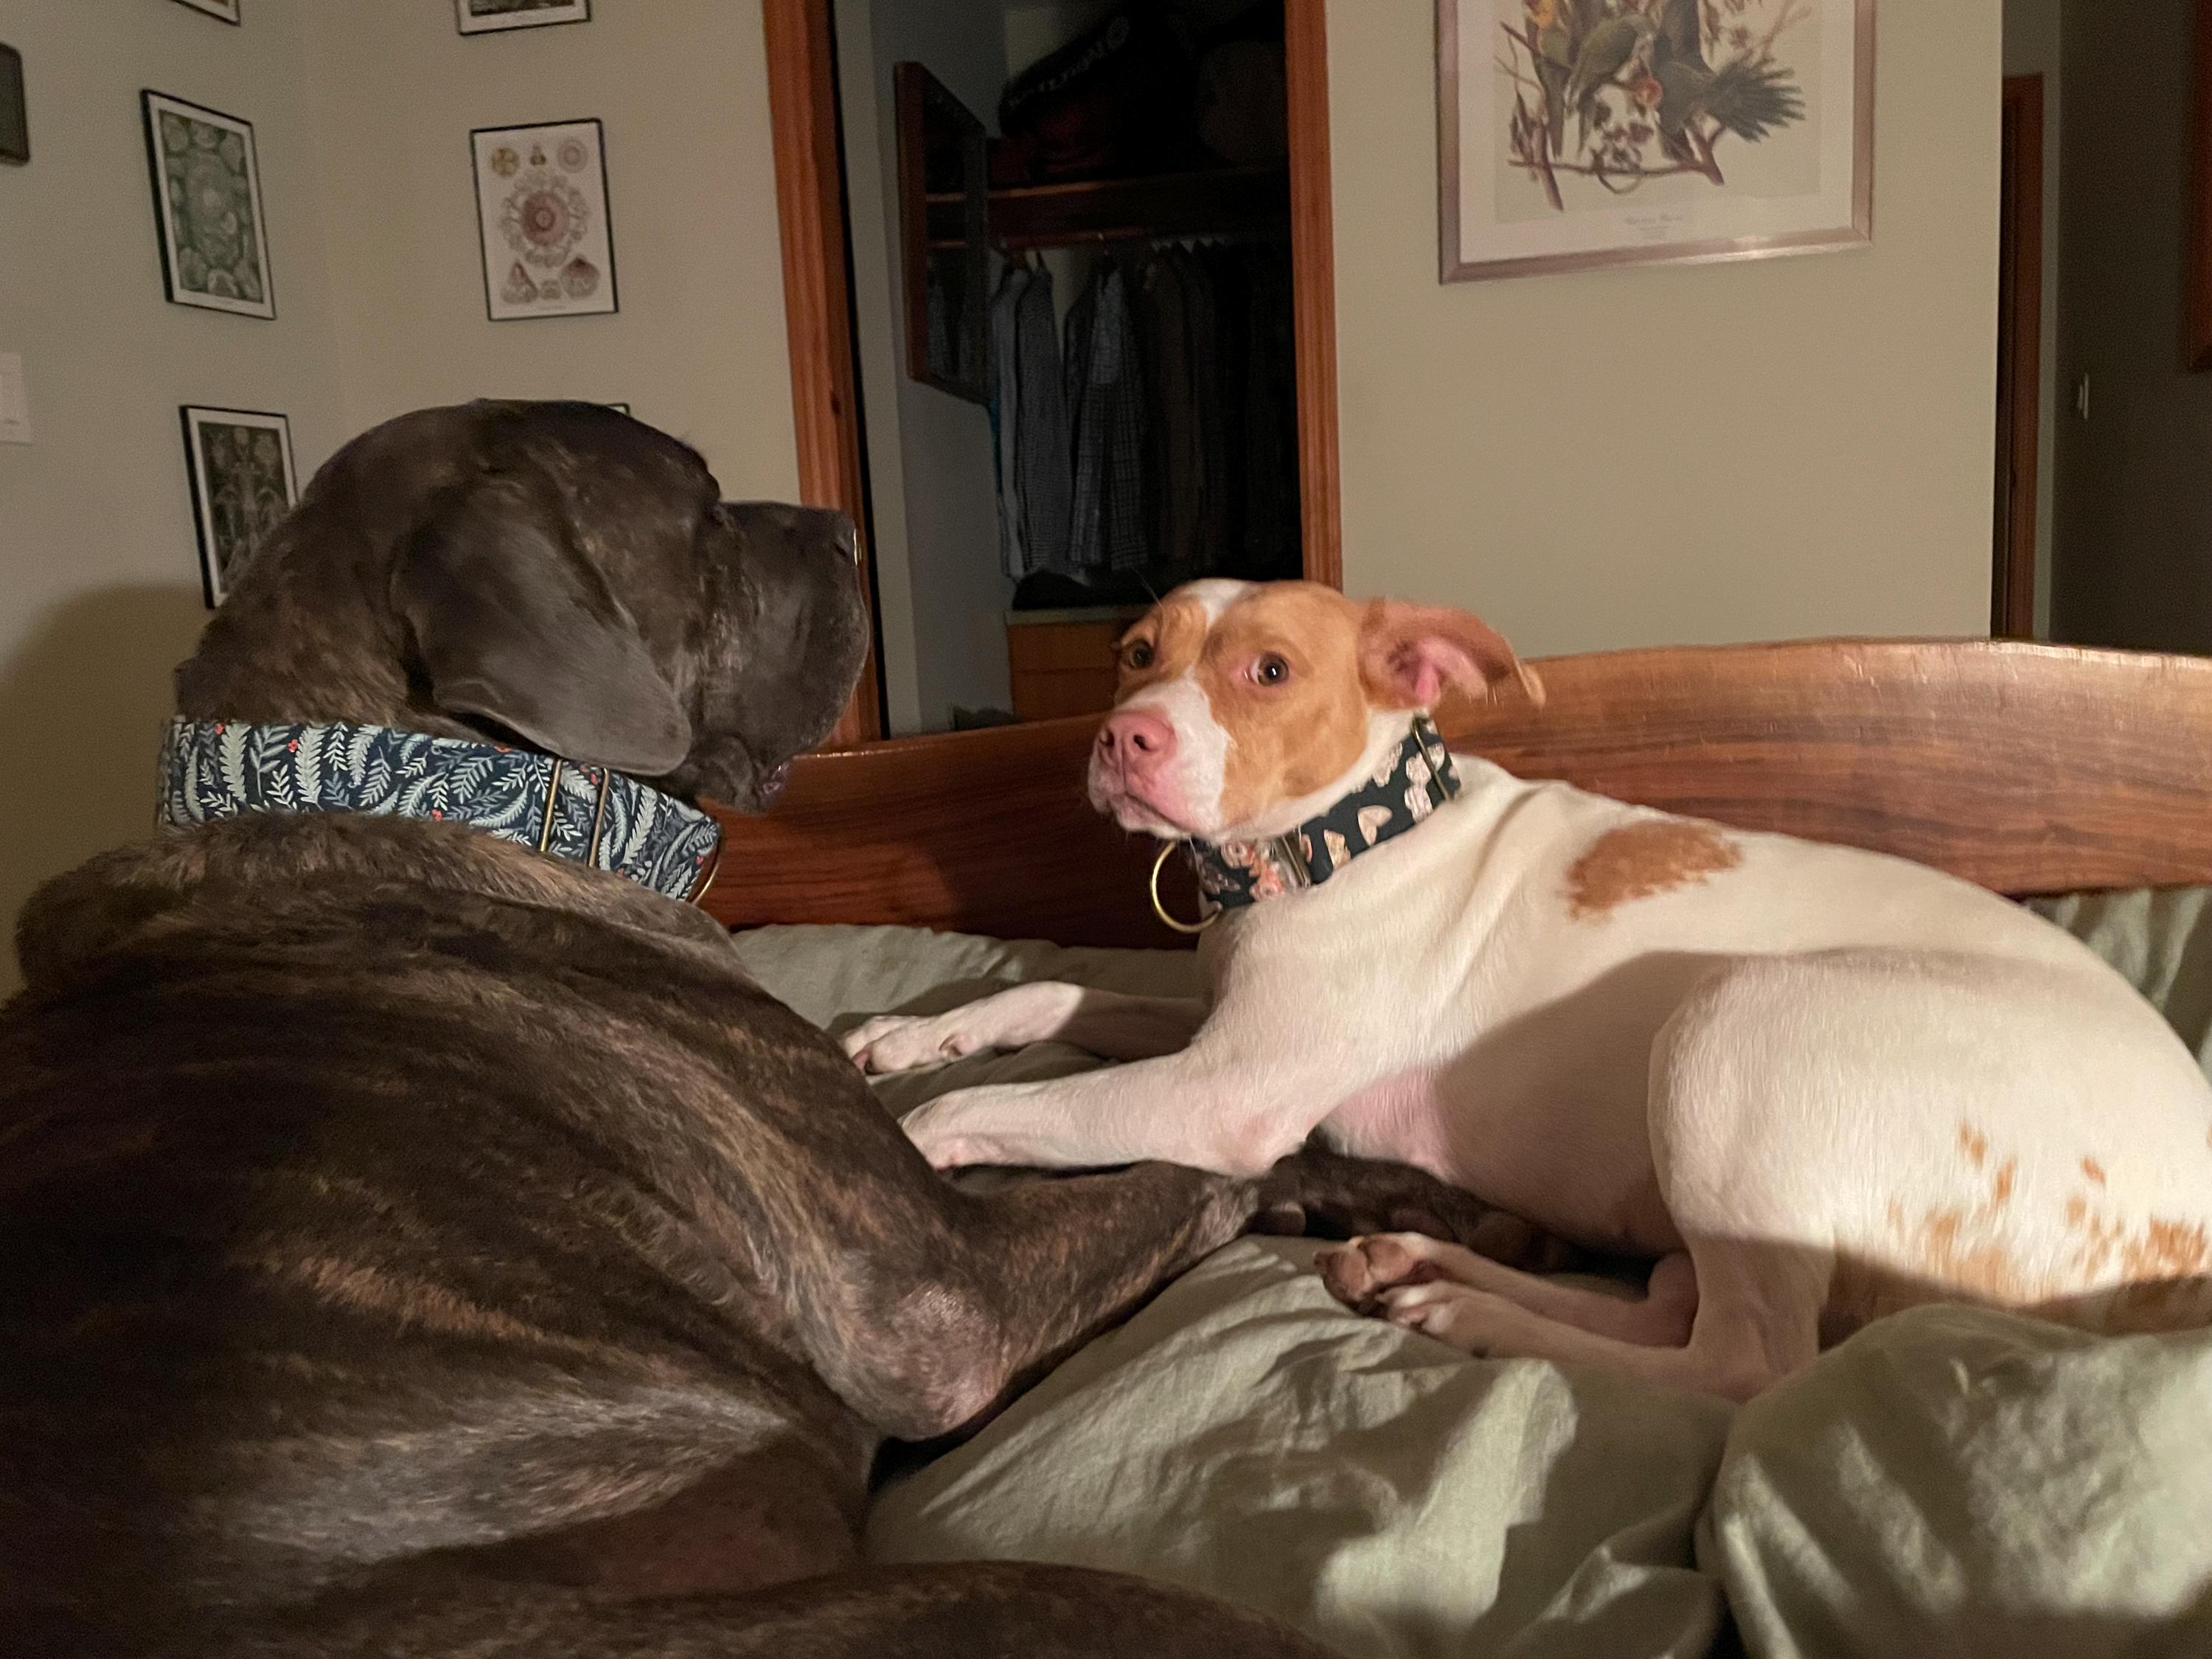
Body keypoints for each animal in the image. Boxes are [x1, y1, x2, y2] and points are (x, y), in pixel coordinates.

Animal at [848, 578, 2212, 1402]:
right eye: (1137, 654)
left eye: (1271, 671)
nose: (1121, 739)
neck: (1340, 843)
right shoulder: (1216, 1033)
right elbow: (1046, 1001)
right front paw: (909, 1034)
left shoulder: (1218, 1097)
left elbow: (1002, 1109)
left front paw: (900, 1149)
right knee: (1671, 1306)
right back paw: (1423, 1264)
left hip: (1738, 1026)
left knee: (1740, 1364)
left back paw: (1474, 1316)